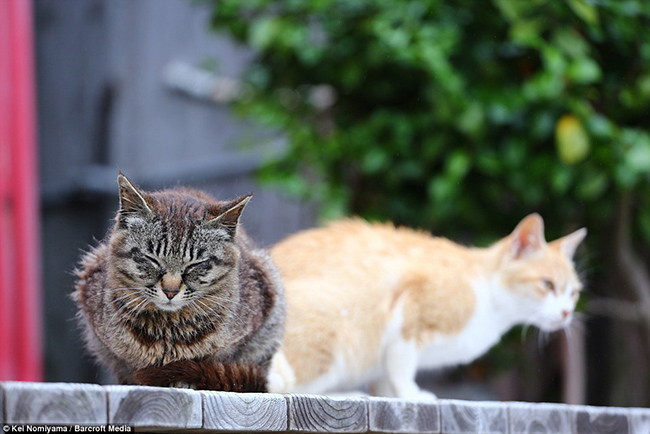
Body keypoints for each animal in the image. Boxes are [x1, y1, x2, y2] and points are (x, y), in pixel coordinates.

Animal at [266, 214, 584, 400]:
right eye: (547, 284)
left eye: (574, 293)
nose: (566, 313)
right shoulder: (409, 311)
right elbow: (403, 368)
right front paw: (411, 394)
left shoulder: (385, 355)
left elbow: (385, 376)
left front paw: (389, 396)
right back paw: (348, 395)